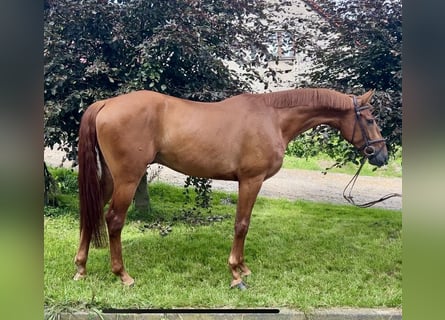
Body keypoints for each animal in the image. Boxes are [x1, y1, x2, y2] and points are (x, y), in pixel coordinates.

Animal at [72, 87, 386, 288]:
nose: (381, 156)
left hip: (109, 179)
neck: (272, 117)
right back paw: (122, 275)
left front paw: (243, 269)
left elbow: (243, 225)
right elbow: (241, 224)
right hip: (128, 178)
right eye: (370, 120)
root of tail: (106, 104)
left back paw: (81, 269)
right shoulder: (251, 180)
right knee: (113, 220)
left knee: (90, 214)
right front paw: (236, 274)